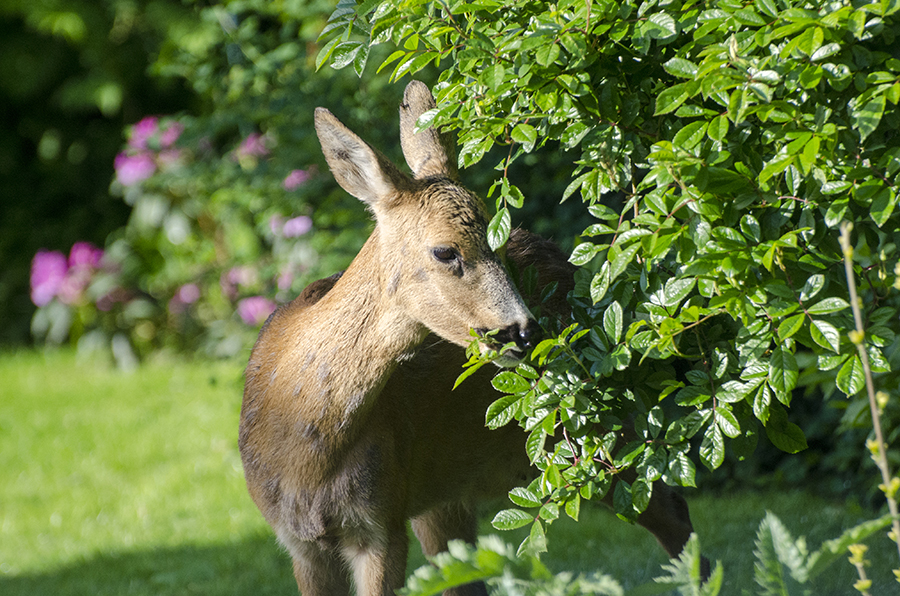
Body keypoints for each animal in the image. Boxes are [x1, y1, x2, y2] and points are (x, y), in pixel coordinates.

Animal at [243, 80, 708, 596]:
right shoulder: (300, 540)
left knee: (672, 506)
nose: (524, 332)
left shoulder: (382, 520)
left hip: (594, 432)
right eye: (446, 251)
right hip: (445, 494)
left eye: (498, 243)